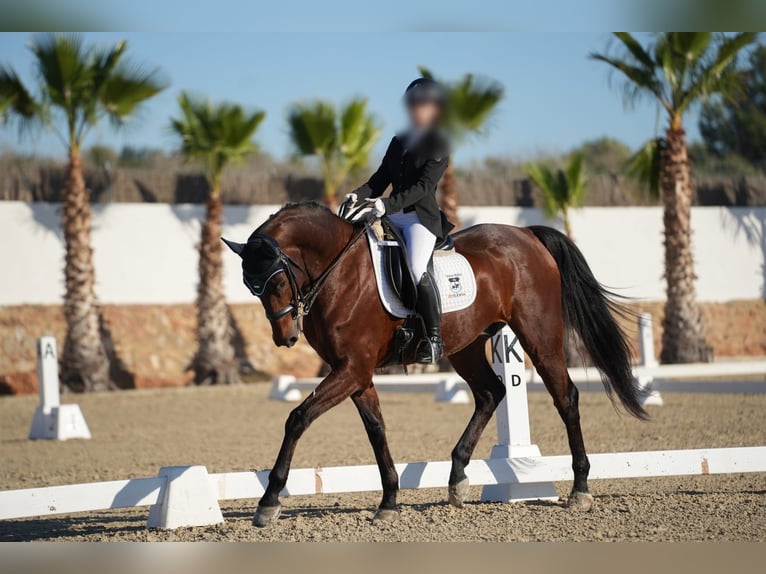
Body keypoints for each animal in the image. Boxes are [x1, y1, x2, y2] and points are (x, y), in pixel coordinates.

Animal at [224, 204, 648, 532]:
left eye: (277, 281)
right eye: (251, 287)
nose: (285, 338)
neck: (340, 274)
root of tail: (527, 235)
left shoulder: (352, 369)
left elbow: (297, 418)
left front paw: (269, 501)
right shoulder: (356, 373)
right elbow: (376, 430)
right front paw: (389, 501)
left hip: (539, 337)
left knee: (565, 397)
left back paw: (580, 490)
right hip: (467, 346)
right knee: (491, 392)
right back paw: (457, 479)